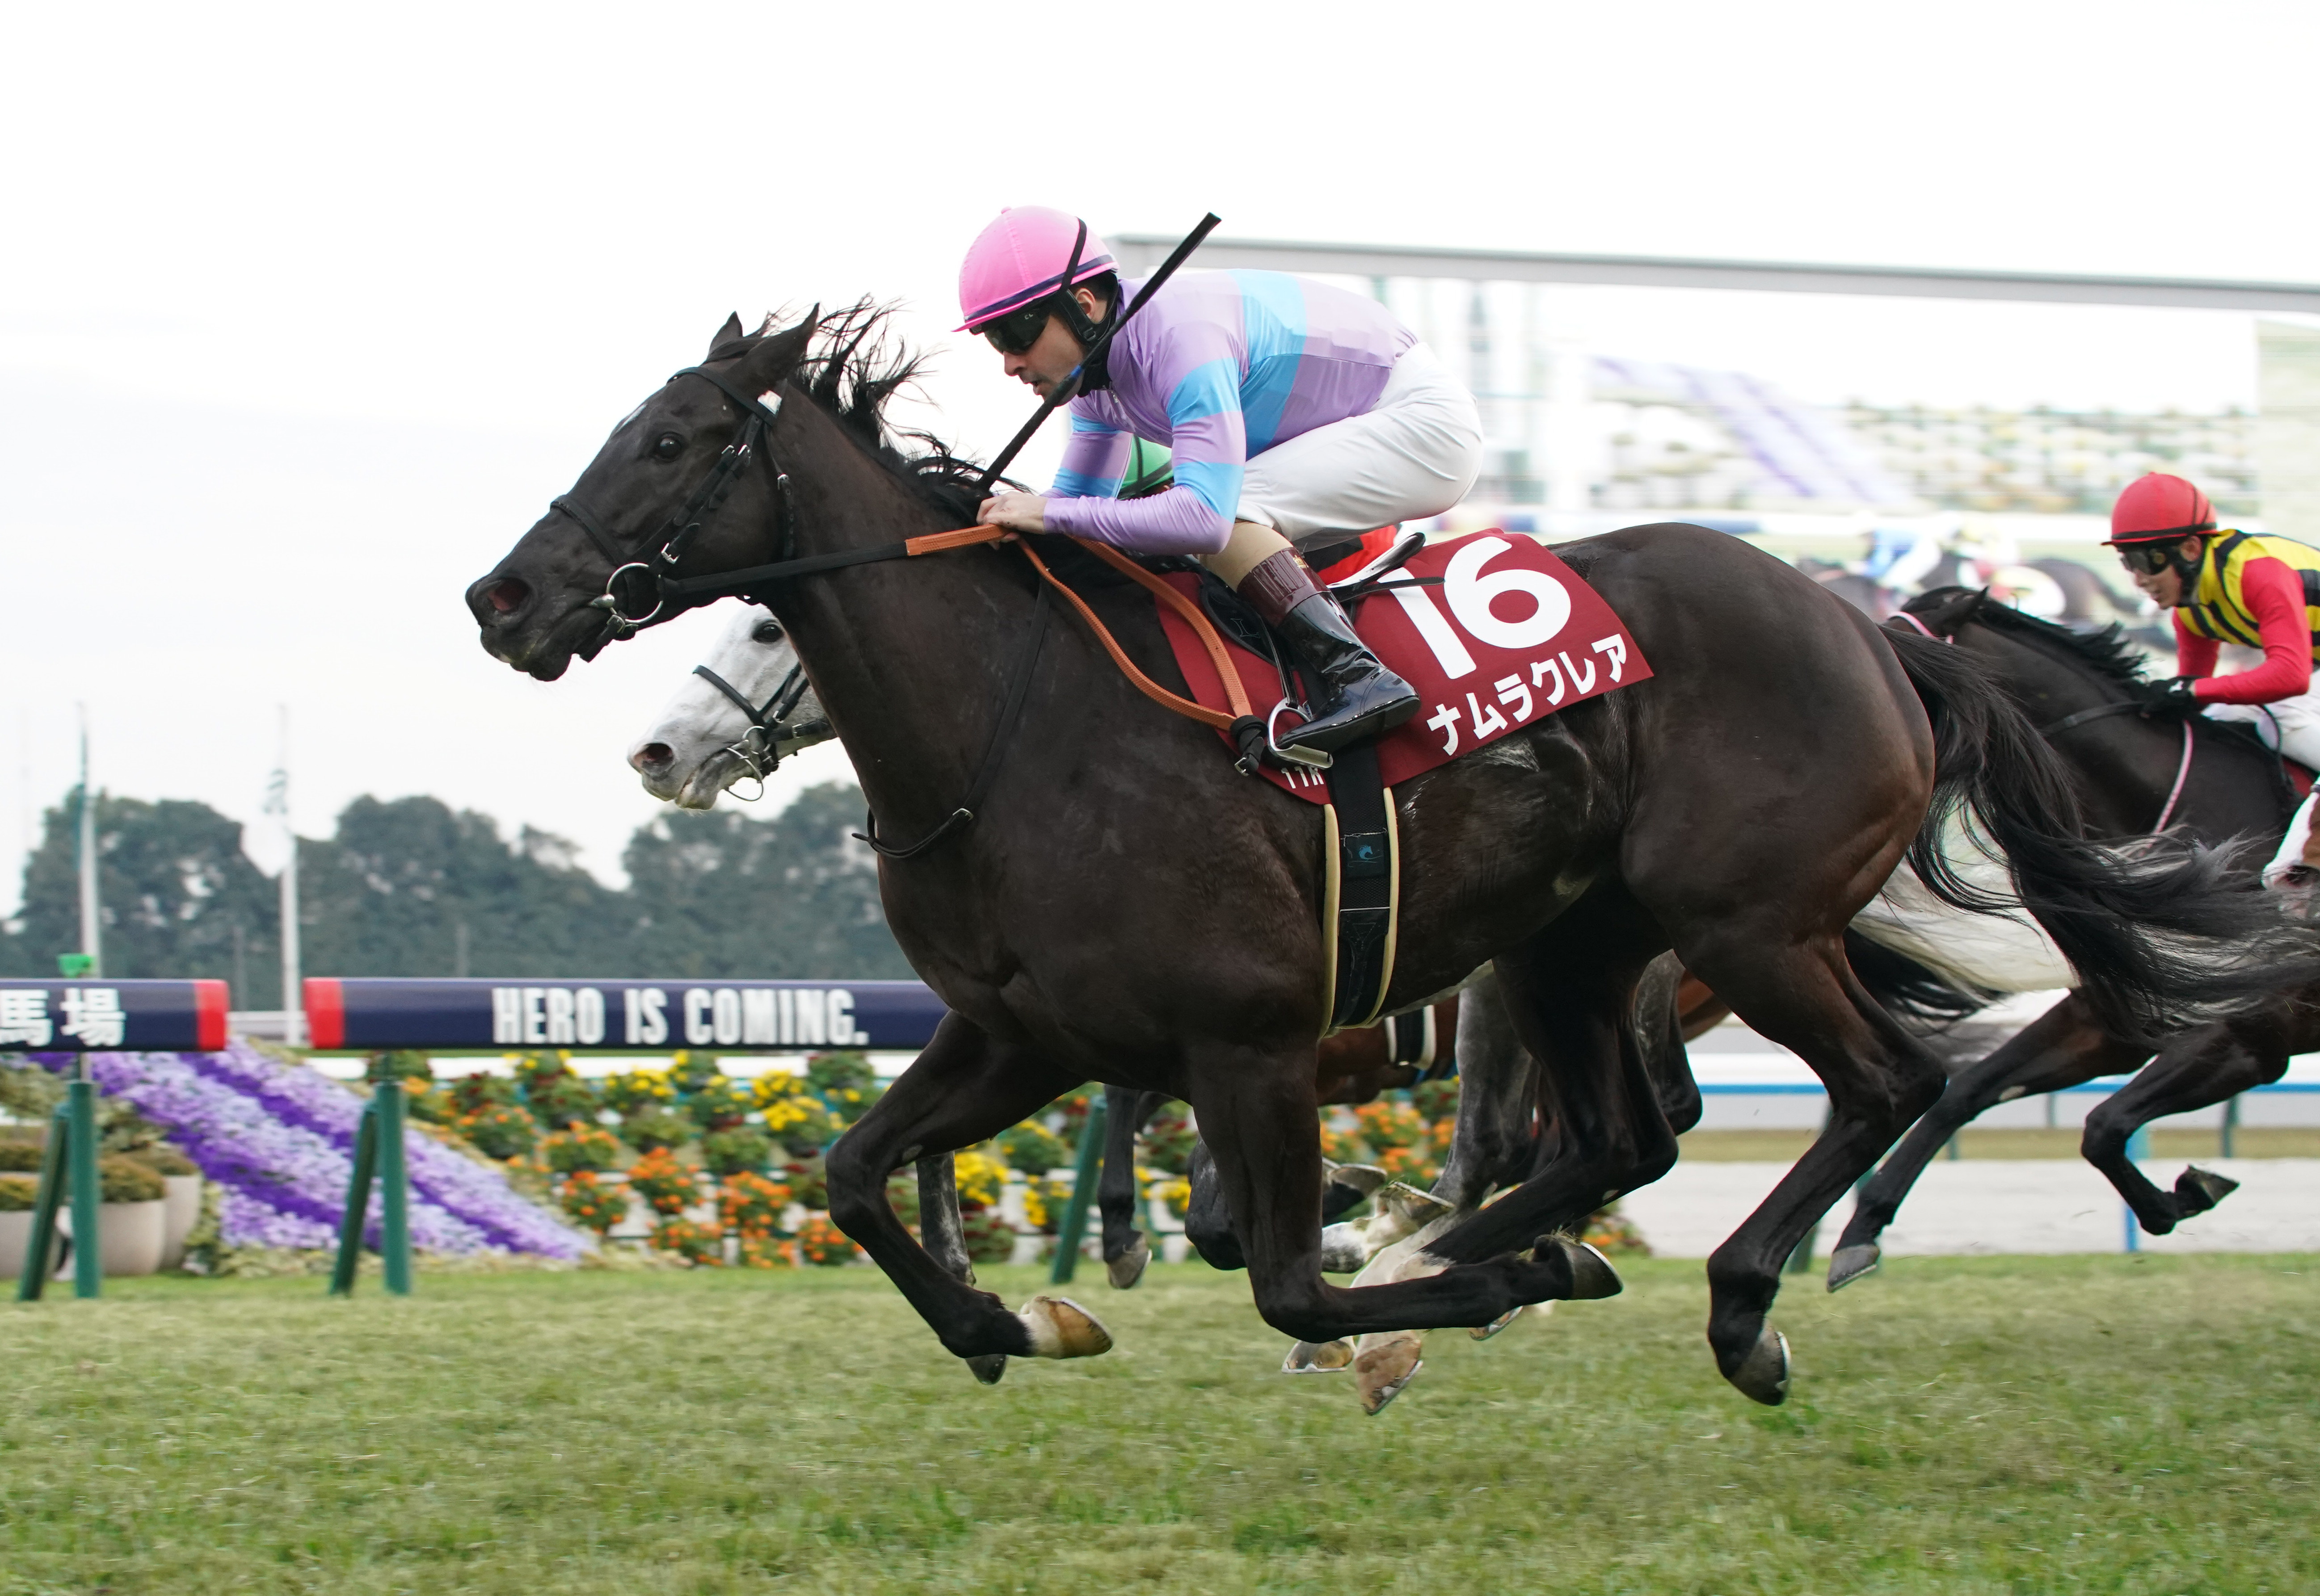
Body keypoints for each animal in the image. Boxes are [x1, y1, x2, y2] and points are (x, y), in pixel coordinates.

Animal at [1830, 586, 2312, 1278]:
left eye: (1898, 658)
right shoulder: (2111, 1019)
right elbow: (1968, 1092)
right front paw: (1860, 1231)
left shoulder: (2243, 1038)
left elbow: (2104, 1125)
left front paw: (2187, 1192)